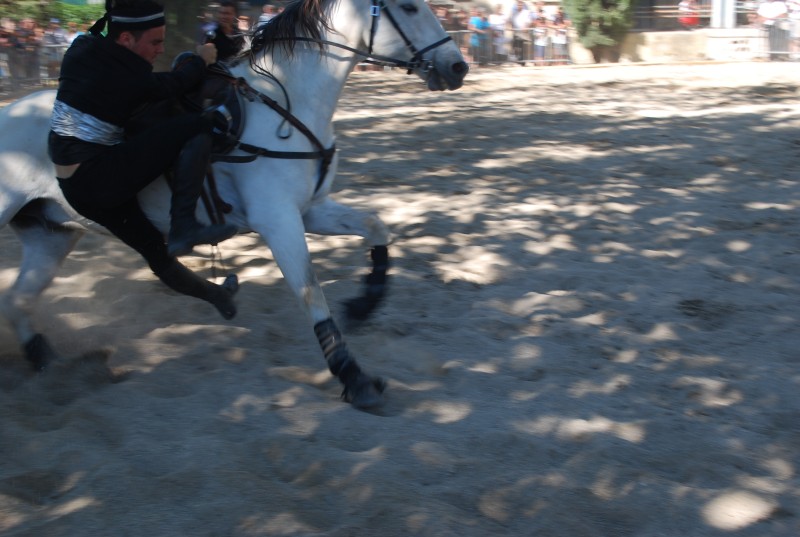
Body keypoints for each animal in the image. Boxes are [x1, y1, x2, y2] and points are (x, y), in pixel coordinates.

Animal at [0, 0, 468, 406]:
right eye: (408, 7)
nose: (457, 66)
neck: (286, 104)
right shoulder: (278, 219)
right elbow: (310, 293)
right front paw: (355, 378)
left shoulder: (309, 209)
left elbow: (375, 226)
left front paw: (364, 304)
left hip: (52, 234)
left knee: (20, 298)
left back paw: (44, 359)